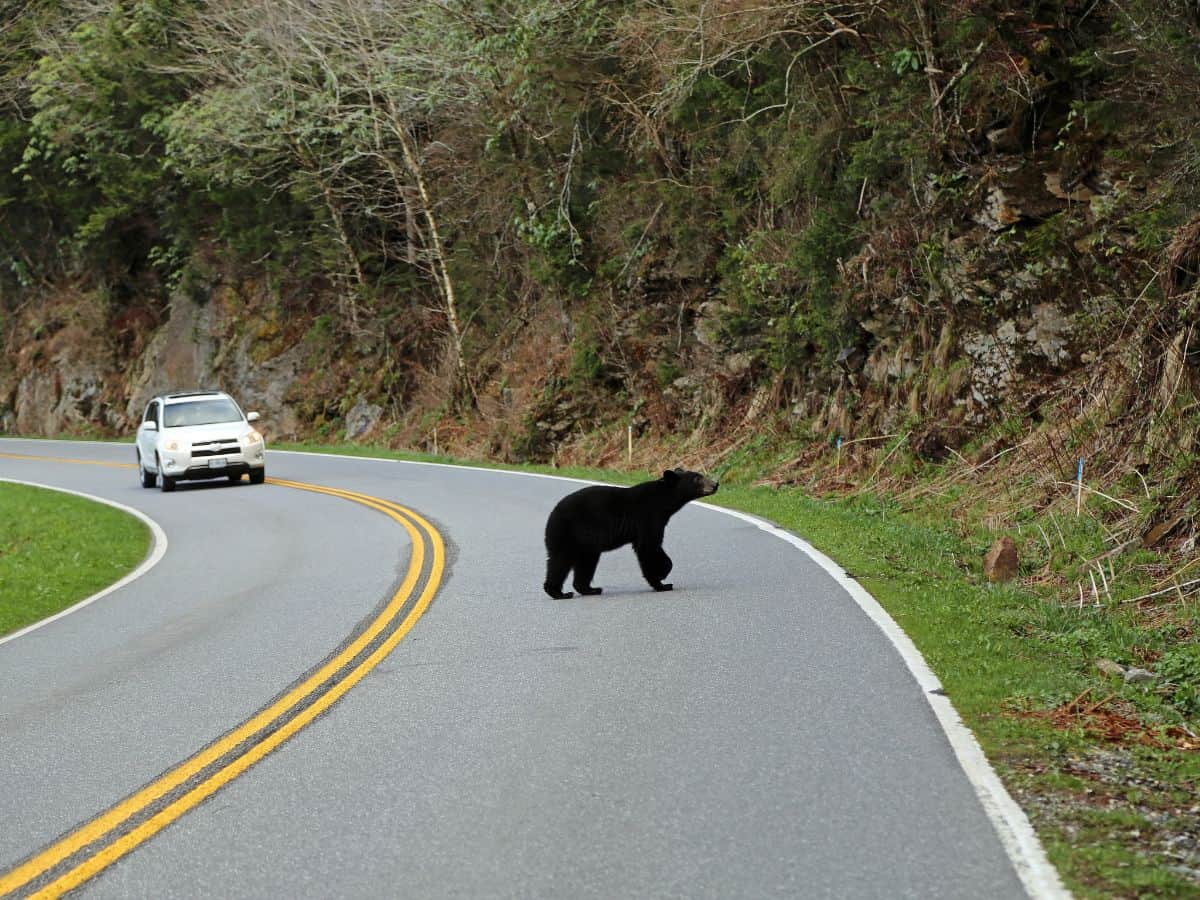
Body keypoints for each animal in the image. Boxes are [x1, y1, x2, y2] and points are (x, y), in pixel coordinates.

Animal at [543, 468, 719, 599]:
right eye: (697, 478)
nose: (715, 484)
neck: (663, 501)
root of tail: (552, 514)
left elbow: (651, 546)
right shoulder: (648, 517)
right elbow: (648, 547)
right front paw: (662, 580)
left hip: (586, 543)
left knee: (586, 562)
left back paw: (590, 589)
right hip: (567, 533)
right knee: (559, 561)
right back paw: (559, 593)